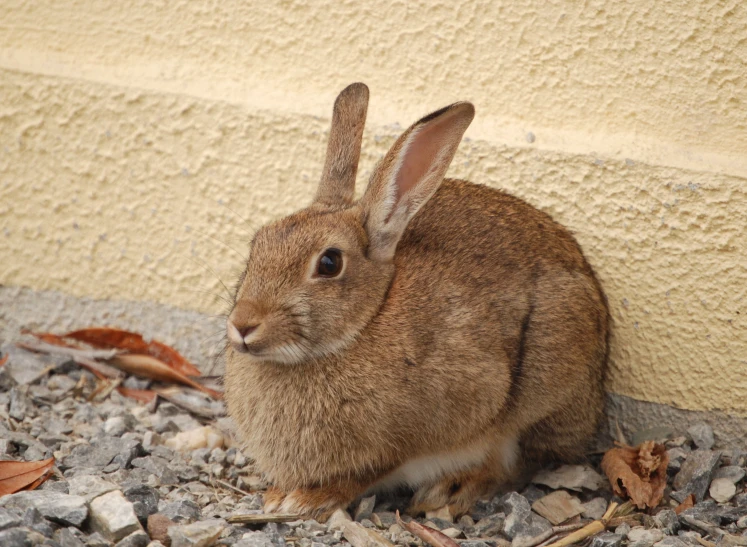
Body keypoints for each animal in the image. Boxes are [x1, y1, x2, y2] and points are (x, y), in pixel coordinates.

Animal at [225, 81, 612, 520]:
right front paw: (279, 494)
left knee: (519, 462)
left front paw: (307, 498)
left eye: (328, 263)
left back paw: (451, 489)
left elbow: (376, 467)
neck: (364, 322)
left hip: (547, 382)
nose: (243, 325)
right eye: (258, 243)